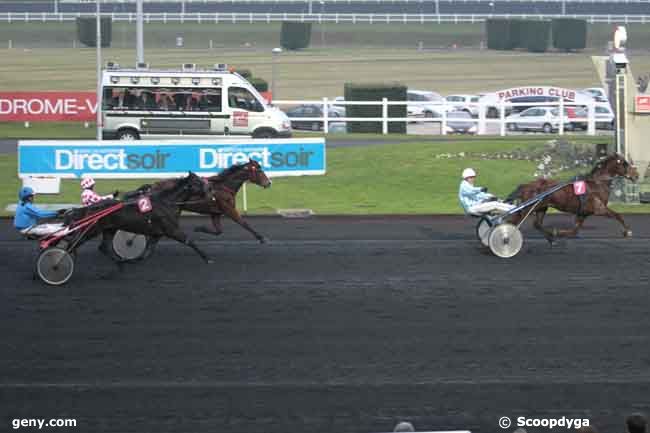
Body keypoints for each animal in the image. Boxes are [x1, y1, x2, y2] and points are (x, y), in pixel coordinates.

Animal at [65, 170, 214, 262]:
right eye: (198, 182)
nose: (210, 189)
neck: (167, 202)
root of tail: (89, 207)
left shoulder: (156, 234)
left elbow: (147, 252)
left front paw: (135, 259)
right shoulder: (172, 230)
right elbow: (190, 241)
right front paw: (207, 258)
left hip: (109, 229)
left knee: (103, 247)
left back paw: (120, 262)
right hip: (92, 229)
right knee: (75, 242)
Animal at [504, 152, 636, 241]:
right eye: (624, 163)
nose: (636, 175)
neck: (597, 183)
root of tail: (526, 185)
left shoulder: (584, 213)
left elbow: (575, 231)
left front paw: (559, 233)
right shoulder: (598, 208)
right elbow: (618, 215)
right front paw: (628, 231)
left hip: (541, 207)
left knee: (536, 224)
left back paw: (551, 237)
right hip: (528, 208)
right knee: (513, 222)